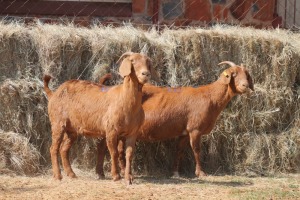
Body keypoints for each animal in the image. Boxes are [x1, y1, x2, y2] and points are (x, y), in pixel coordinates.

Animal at [44, 52, 157, 184]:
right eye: (132, 61)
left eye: (148, 63)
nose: (145, 74)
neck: (125, 100)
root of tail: (53, 94)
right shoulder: (111, 131)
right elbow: (114, 152)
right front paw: (116, 176)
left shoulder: (132, 133)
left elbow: (129, 154)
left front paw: (128, 178)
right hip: (58, 123)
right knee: (53, 148)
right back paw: (58, 175)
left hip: (71, 130)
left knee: (63, 149)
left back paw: (71, 174)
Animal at [95, 61, 253, 178]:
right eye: (233, 74)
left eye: (246, 75)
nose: (245, 86)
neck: (210, 97)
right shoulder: (195, 129)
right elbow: (197, 150)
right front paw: (200, 172)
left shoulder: (184, 132)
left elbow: (179, 150)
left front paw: (175, 172)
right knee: (110, 147)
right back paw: (113, 172)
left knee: (109, 147)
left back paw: (106, 172)